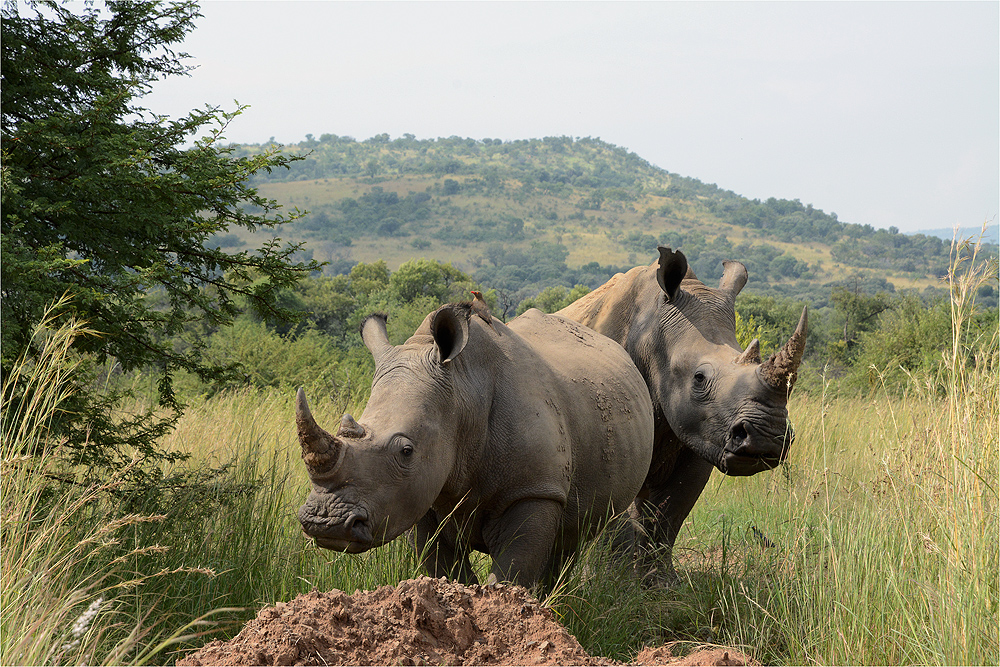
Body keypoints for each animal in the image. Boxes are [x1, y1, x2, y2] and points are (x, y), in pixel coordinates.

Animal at [294, 306, 656, 588]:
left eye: (406, 451)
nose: (326, 523)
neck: (464, 392)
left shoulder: (535, 489)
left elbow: (512, 575)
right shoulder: (419, 496)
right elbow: (448, 573)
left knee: (572, 540)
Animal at [560, 245, 808, 580]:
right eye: (699, 378)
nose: (766, 437)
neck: (650, 331)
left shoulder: (705, 435)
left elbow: (673, 511)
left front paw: (660, 583)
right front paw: (612, 581)